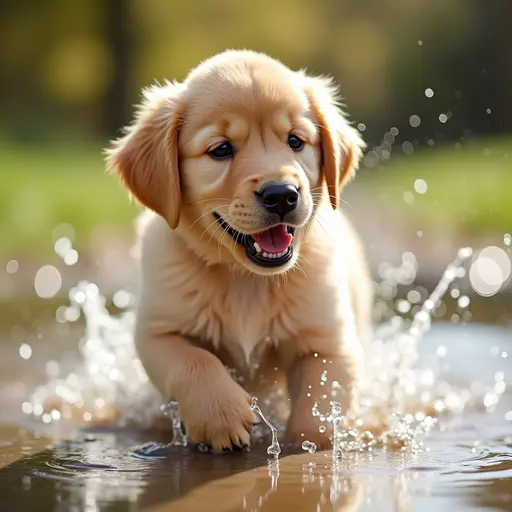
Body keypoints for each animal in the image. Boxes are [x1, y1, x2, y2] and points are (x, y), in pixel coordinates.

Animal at [107, 50, 372, 452]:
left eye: (295, 141)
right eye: (221, 149)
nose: (282, 195)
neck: (247, 279)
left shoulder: (329, 341)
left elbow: (319, 407)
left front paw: (309, 447)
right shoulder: (157, 332)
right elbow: (193, 361)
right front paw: (221, 416)